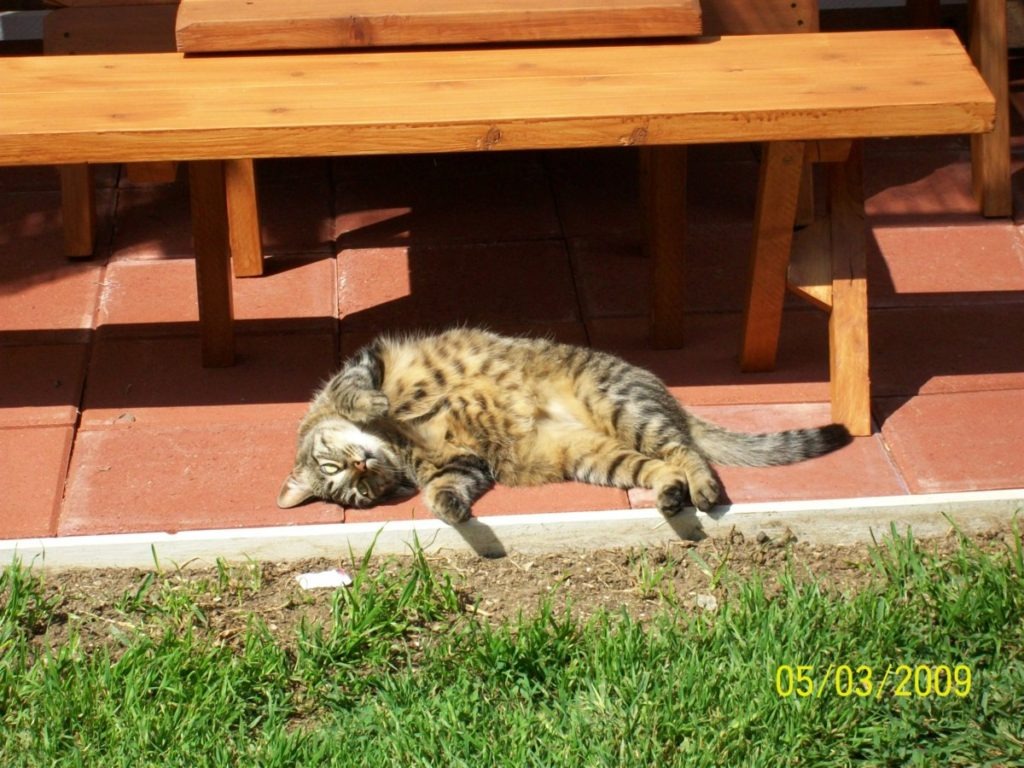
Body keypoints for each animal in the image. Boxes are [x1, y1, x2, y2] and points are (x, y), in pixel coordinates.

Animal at [276, 327, 851, 528]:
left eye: (334, 466)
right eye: (357, 492)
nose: (359, 464)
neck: (399, 446)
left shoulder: (365, 362)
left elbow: (357, 392)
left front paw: (372, 406)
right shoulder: (465, 462)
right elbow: (447, 488)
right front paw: (449, 510)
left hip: (620, 404)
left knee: (688, 452)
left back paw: (703, 488)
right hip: (596, 456)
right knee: (662, 466)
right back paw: (671, 497)